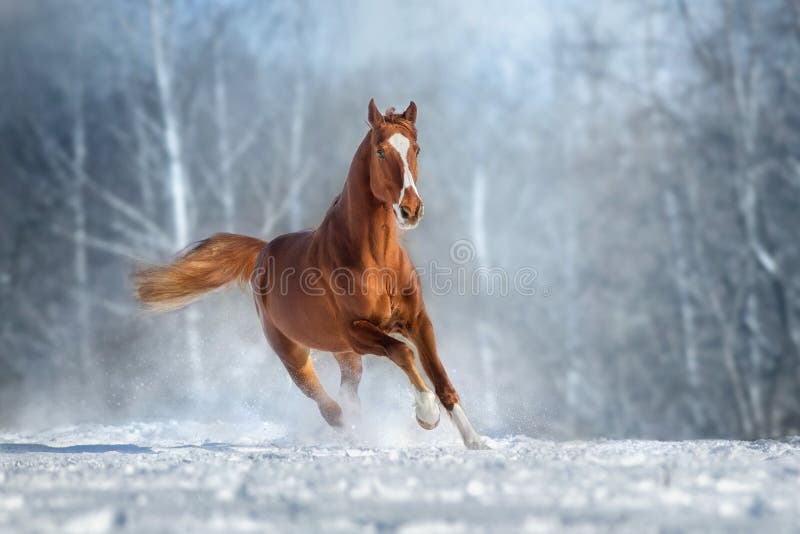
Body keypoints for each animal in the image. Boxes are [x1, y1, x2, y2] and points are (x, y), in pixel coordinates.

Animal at [133, 98, 488, 450]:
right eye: (380, 151)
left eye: (416, 148)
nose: (410, 209)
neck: (376, 258)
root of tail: (263, 251)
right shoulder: (356, 330)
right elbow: (402, 351)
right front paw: (427, 414)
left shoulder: (416, 321)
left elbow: (441, 378)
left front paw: (475, 441)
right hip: (294, 354)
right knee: (328, 406)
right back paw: (353, 432)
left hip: (343, 353)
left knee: (347, 392)